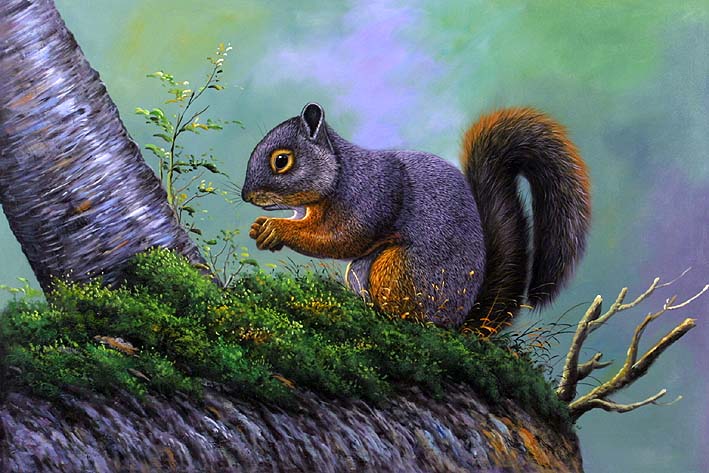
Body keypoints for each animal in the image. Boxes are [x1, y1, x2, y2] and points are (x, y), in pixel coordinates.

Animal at [242, 103, 591, 331]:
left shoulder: (371, 198)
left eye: (282, 160)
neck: (340, 172)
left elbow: (339, 238)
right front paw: (261, 229)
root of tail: (457, 321)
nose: (246, 196)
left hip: (398, 271)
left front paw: (276, 229)